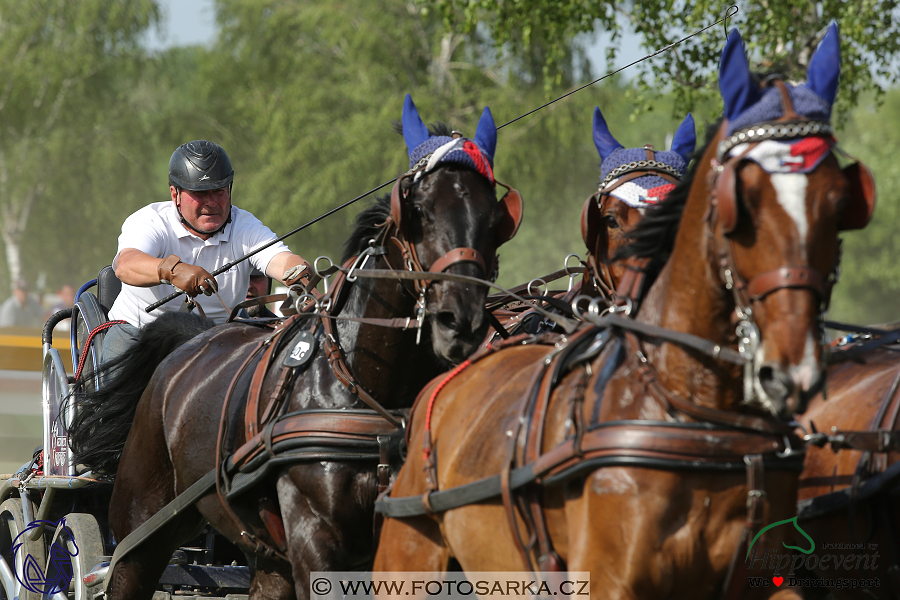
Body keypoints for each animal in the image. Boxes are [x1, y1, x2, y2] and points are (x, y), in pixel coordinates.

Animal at [70, 96, 524, 596]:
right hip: (141, 527)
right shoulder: (316, 538)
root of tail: (189, 342)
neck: (363, 391)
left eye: (495, 218)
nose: (460, 320)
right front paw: (184, 272)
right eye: (418, 211)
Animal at [374, 24, 872, 600]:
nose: (793, 364)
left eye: (838, 200)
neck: (695, 412)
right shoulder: (607, 576)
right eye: (609, 218)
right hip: (407, 558)